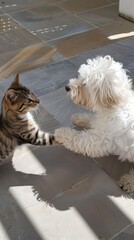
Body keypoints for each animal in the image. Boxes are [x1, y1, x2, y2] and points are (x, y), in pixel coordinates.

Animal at [54, 55, 134, 194]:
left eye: (85, 83)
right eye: (80, 76)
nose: (67, 87)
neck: (116, 105)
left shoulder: (100, 139)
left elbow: (78, 139)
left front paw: (61, 132)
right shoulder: (100, 122)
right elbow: (92, 120)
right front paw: (79, 118)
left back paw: (128, 182)